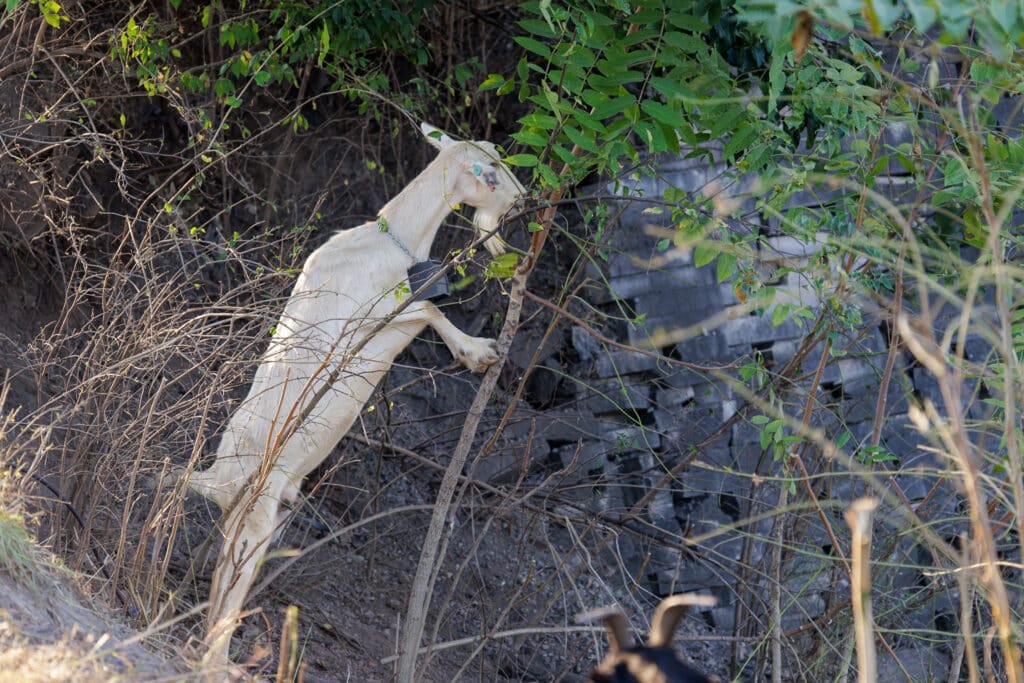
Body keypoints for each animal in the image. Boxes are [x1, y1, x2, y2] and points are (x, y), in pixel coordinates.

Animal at [185, 123, 525, 662]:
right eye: (492, 168)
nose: (524, 198)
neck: (392, 242)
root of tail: (214, 479)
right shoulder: (372, 319)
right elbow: (430, 310)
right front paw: (479, 352)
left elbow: (426, 311)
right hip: (254, 516)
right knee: (230, 588)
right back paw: (217, 662)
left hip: (264, 515)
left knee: (223, 579)